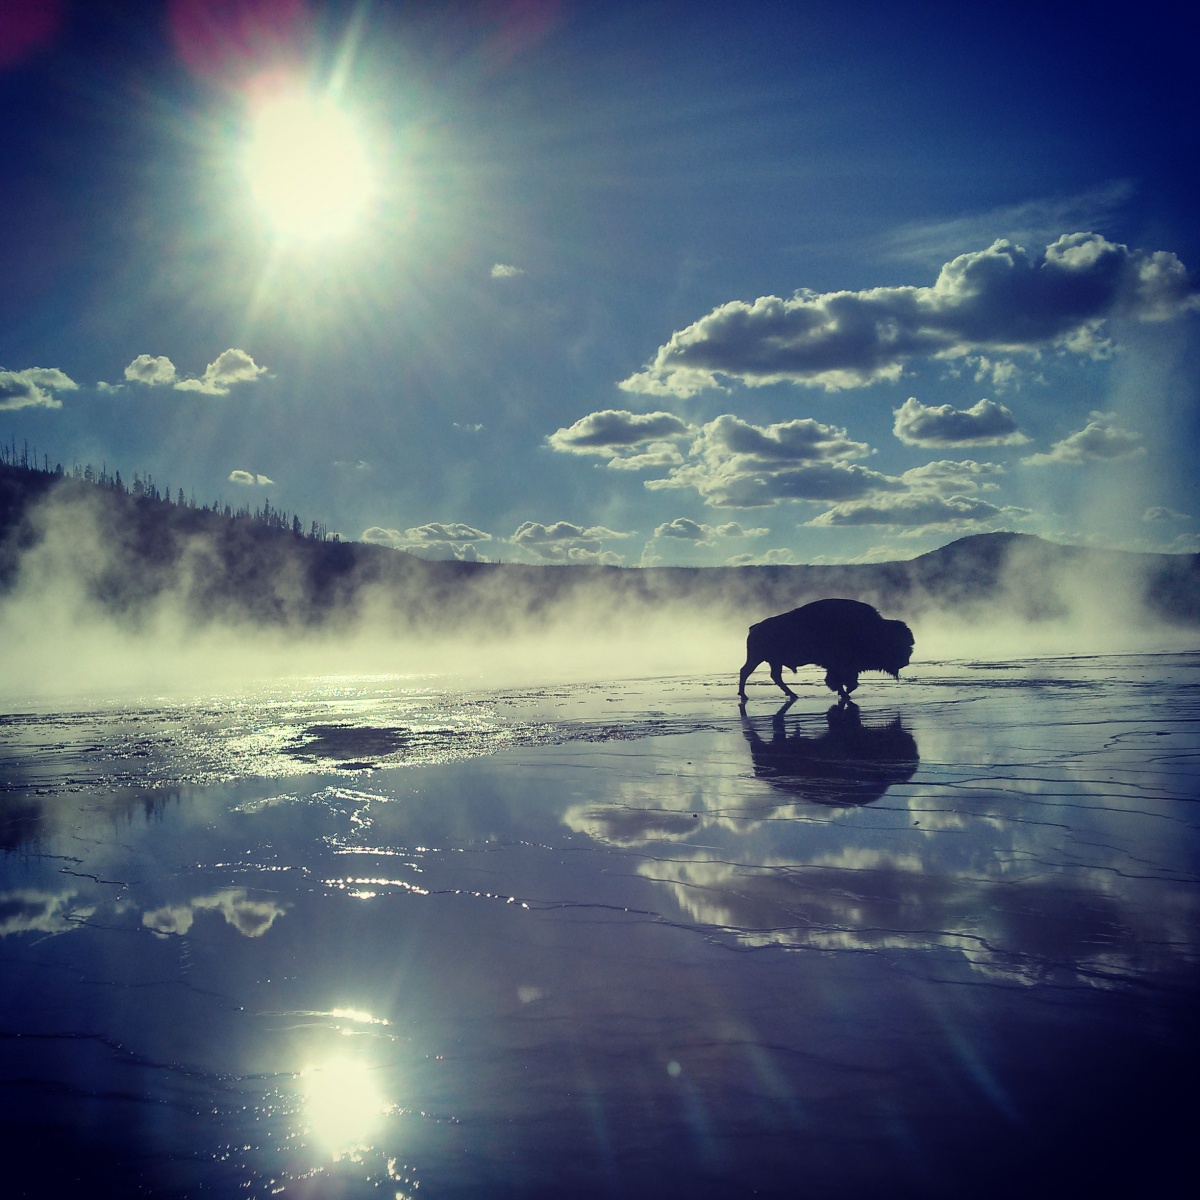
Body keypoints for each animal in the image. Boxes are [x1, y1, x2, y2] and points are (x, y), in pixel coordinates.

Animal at [734, 600, 912, 700]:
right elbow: (840, 681)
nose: (905, 661)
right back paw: (744, 695)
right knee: (746, 671)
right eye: (896, 645)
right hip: (757, 658)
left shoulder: (846, 668)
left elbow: (850, 683)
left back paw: (792, 694)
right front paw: (843, 693)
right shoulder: (841, 667)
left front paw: (843, 692)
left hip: (772, 661)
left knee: (774, 676)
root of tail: (755, 628)